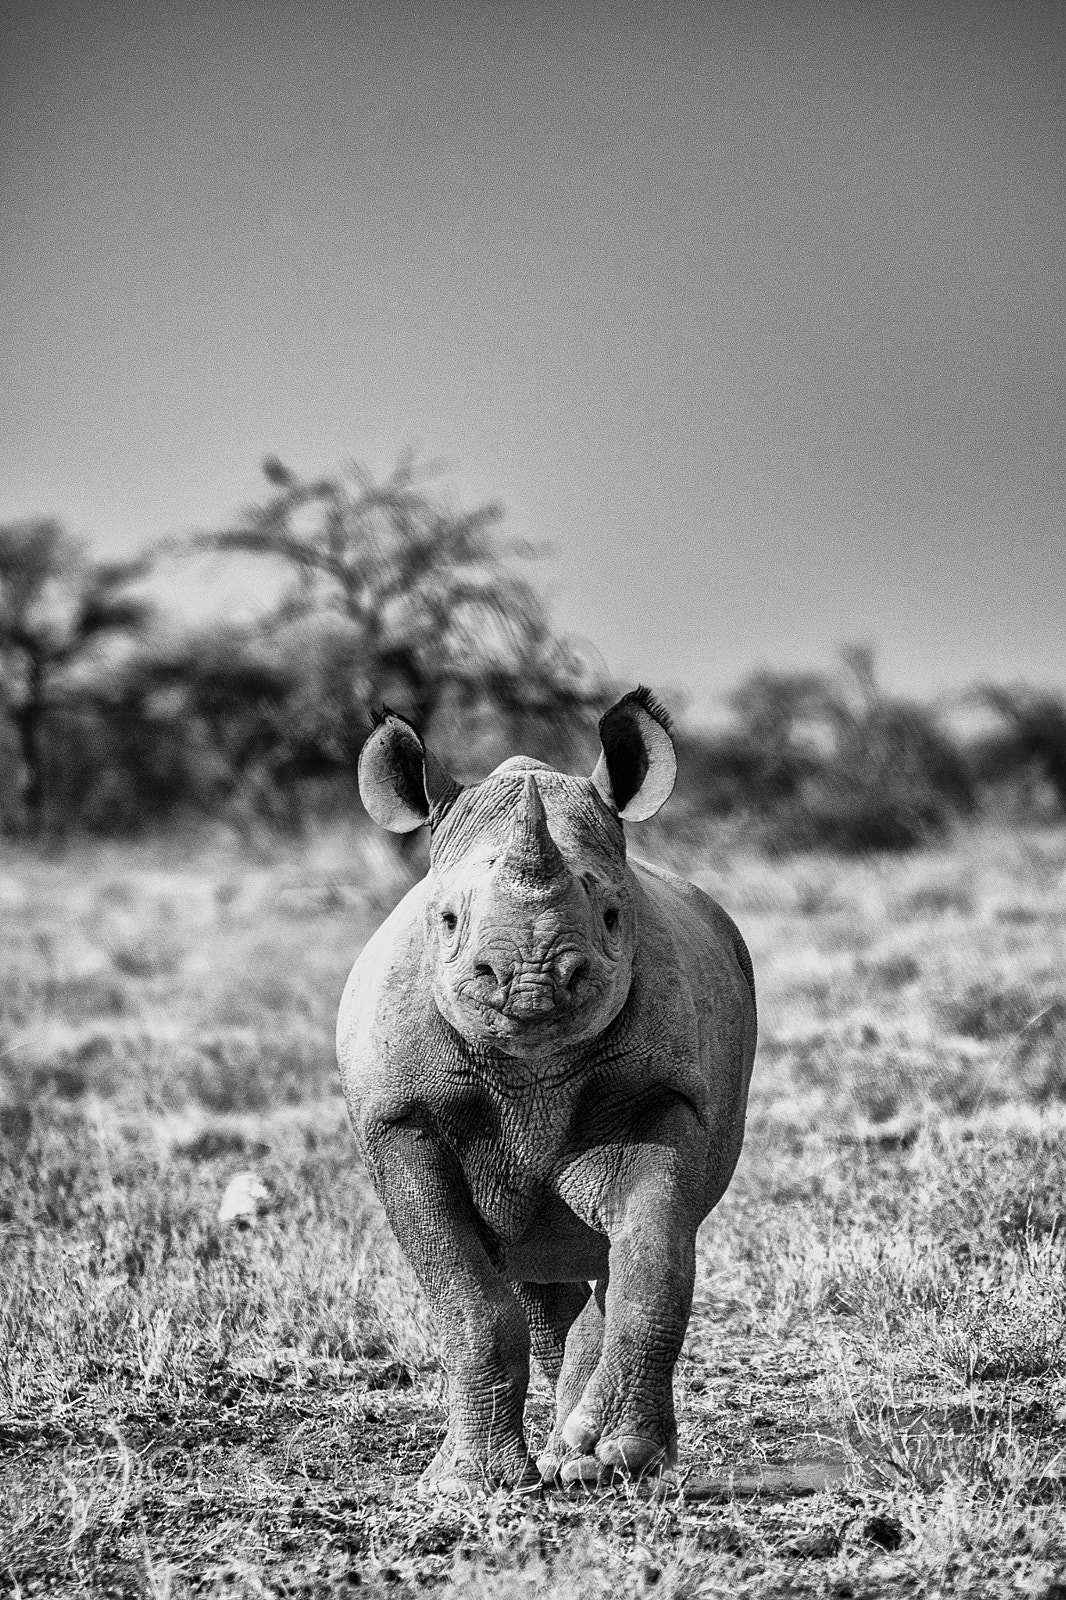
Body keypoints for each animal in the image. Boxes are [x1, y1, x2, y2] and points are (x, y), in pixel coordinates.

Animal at [336, 688, 757, 1490]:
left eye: (613, 916)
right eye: (447, 920)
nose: (531, 979)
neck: (530, 1070)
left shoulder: (663, 1093)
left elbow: (654, 1255)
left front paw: (619, 1459)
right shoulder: (400, 1119)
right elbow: (466, 1297)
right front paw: (472, 1483)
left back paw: (581, 1458)